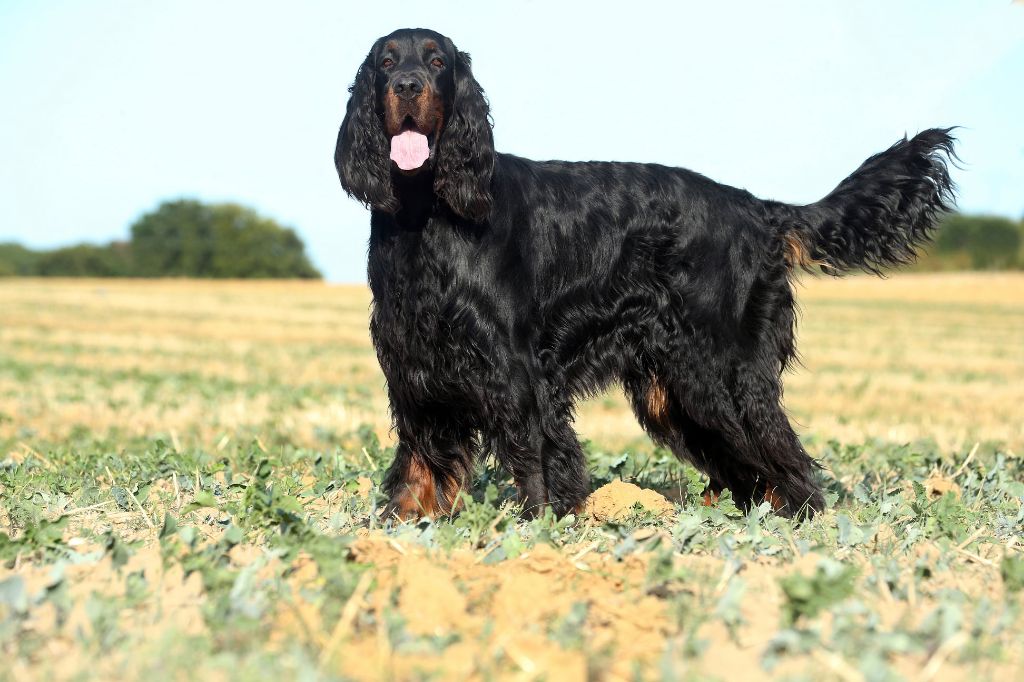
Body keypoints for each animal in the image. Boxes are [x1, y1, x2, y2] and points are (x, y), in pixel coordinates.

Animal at [335, 25, 958, 516]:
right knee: (748, 467)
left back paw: (798, 523)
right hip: (674, 386)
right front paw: (399, 525)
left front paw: (535, 528)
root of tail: (758, 209)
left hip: (721, 369)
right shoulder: (413, 363)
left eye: (437, 61)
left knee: (785, 457)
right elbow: (417, 458)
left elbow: (533, 455)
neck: (427, 212)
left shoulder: (512, 366)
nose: (408, 86)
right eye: (386, 61)